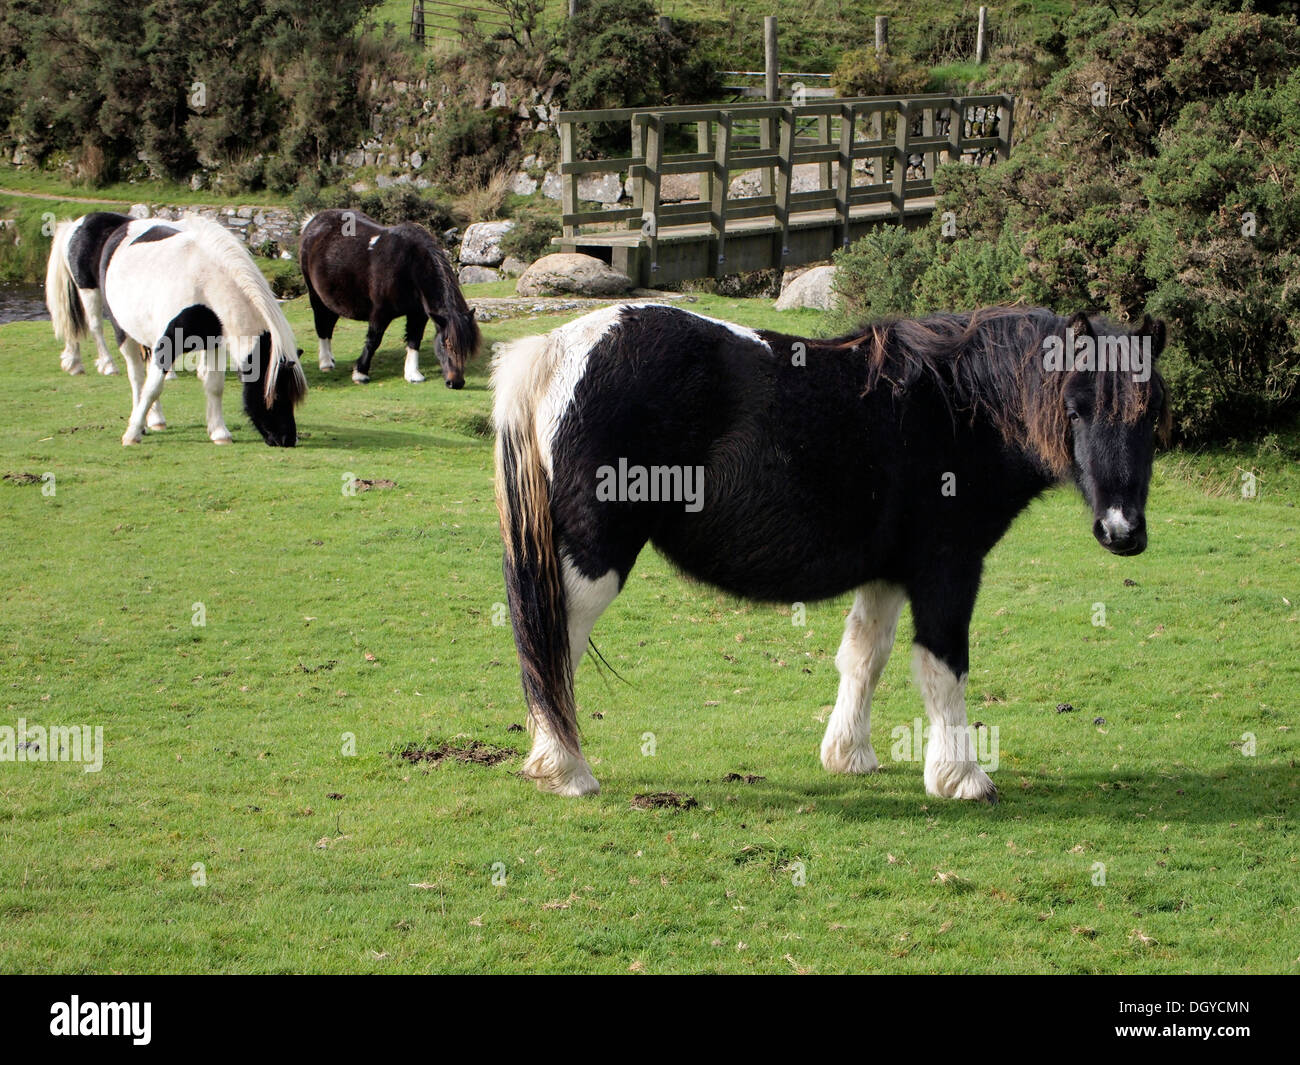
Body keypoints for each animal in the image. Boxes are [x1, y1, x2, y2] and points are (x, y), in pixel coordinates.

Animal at [47, 214, 306, 447]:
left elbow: (214, 386)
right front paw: (131, 434)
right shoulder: (166, 344)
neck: (205, 285)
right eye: (276, 395)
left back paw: (155, 419)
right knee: (136, 376)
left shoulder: (214, 343)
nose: (288, 439)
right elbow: (152, 387)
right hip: (120, 327)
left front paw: (219, 432)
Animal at [297, 206, 480, 387]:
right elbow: (373, 340)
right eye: (444, 343)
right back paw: (326, 363)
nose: (455, 382)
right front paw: (360, 373)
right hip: (316, 297)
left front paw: (413, 374)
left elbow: (414, 339)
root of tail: (314, 221)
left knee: (328, 325)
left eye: (467, 346)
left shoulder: (418, 314)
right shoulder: (380, 313)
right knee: (322, 325)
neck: (410, 264)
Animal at [491, 300, 1175, 801]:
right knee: (553, 647)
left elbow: (864, 657)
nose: (1122, 531)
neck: (958, 407)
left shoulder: (889, 572)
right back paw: (567, 771)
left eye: (1152, 414)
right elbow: (943, 666)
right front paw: (961, 777)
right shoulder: (948, 568)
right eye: (1075, 408)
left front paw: (850, 756)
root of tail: (555, 350)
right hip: (592, 562)